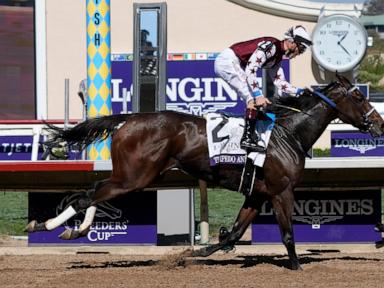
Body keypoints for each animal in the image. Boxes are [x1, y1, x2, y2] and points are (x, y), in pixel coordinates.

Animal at [26, 75, 384, 270]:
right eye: (358, 95)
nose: (379, 123)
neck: (288, 133)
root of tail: (129, 119)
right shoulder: (282, 191)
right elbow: (287, 234)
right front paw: (296, 267)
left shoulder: (258, 193)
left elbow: (236, 233)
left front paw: (195, 251)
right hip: (135, 177)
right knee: (88, 195)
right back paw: (50, 225)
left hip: (132, 176)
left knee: (92, 190)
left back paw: (68, 227)